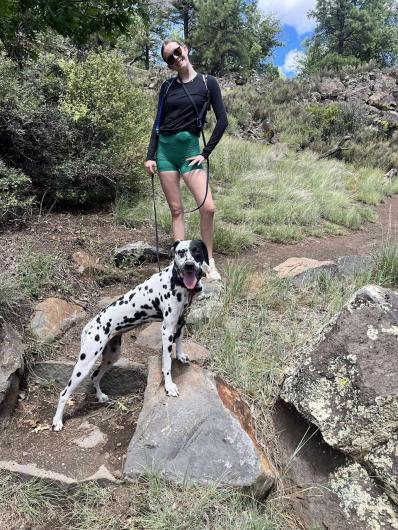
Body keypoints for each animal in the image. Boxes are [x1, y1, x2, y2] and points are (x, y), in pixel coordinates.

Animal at [51, 238, 210, 428]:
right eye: (181, 252)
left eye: (196, 252)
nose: (189, 265)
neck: (177, 281)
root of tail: (89, 326)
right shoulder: (167, 330)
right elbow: (166, 364)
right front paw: (169, 386)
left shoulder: (180, 321)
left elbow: (179, 341)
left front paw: (180, 355)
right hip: (84, 364)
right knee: (64, 393)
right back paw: (57, 421)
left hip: (111, 356)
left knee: (95, 376)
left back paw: (100, 396)